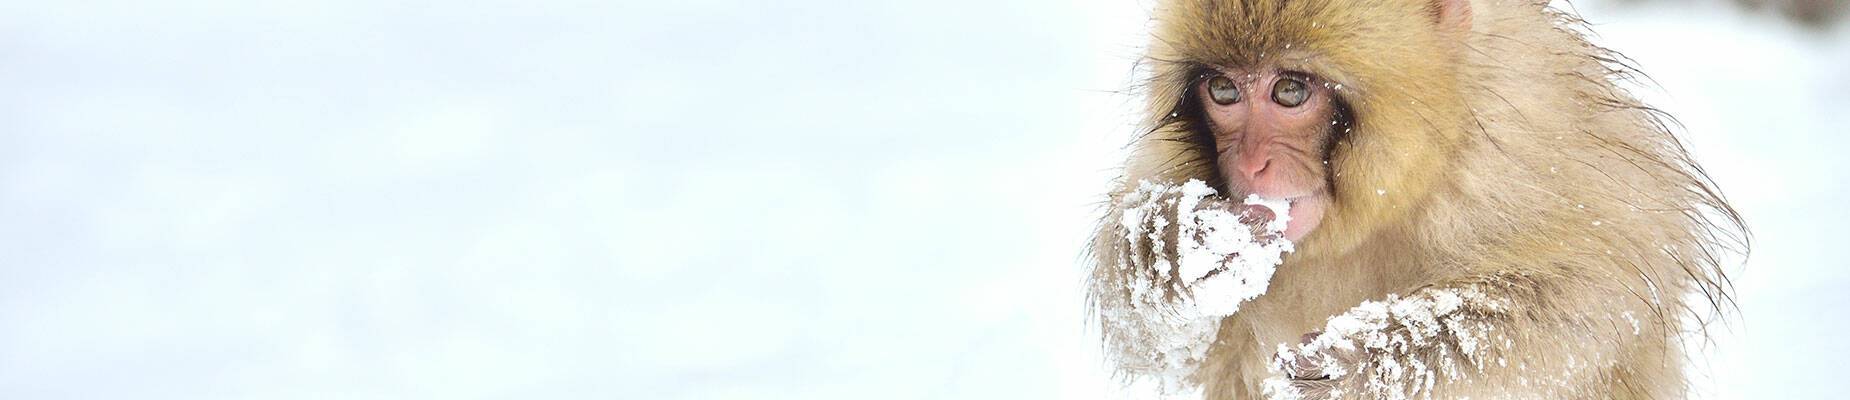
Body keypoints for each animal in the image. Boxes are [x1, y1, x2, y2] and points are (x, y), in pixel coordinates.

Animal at [1085, 0, 1746, 399]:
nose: (1250, 165)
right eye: (1223, 90)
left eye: (1290, 90)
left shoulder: (1531, 141)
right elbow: (1176, 352)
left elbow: (1594, 296)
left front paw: (1368, 358)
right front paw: (1176, 250)